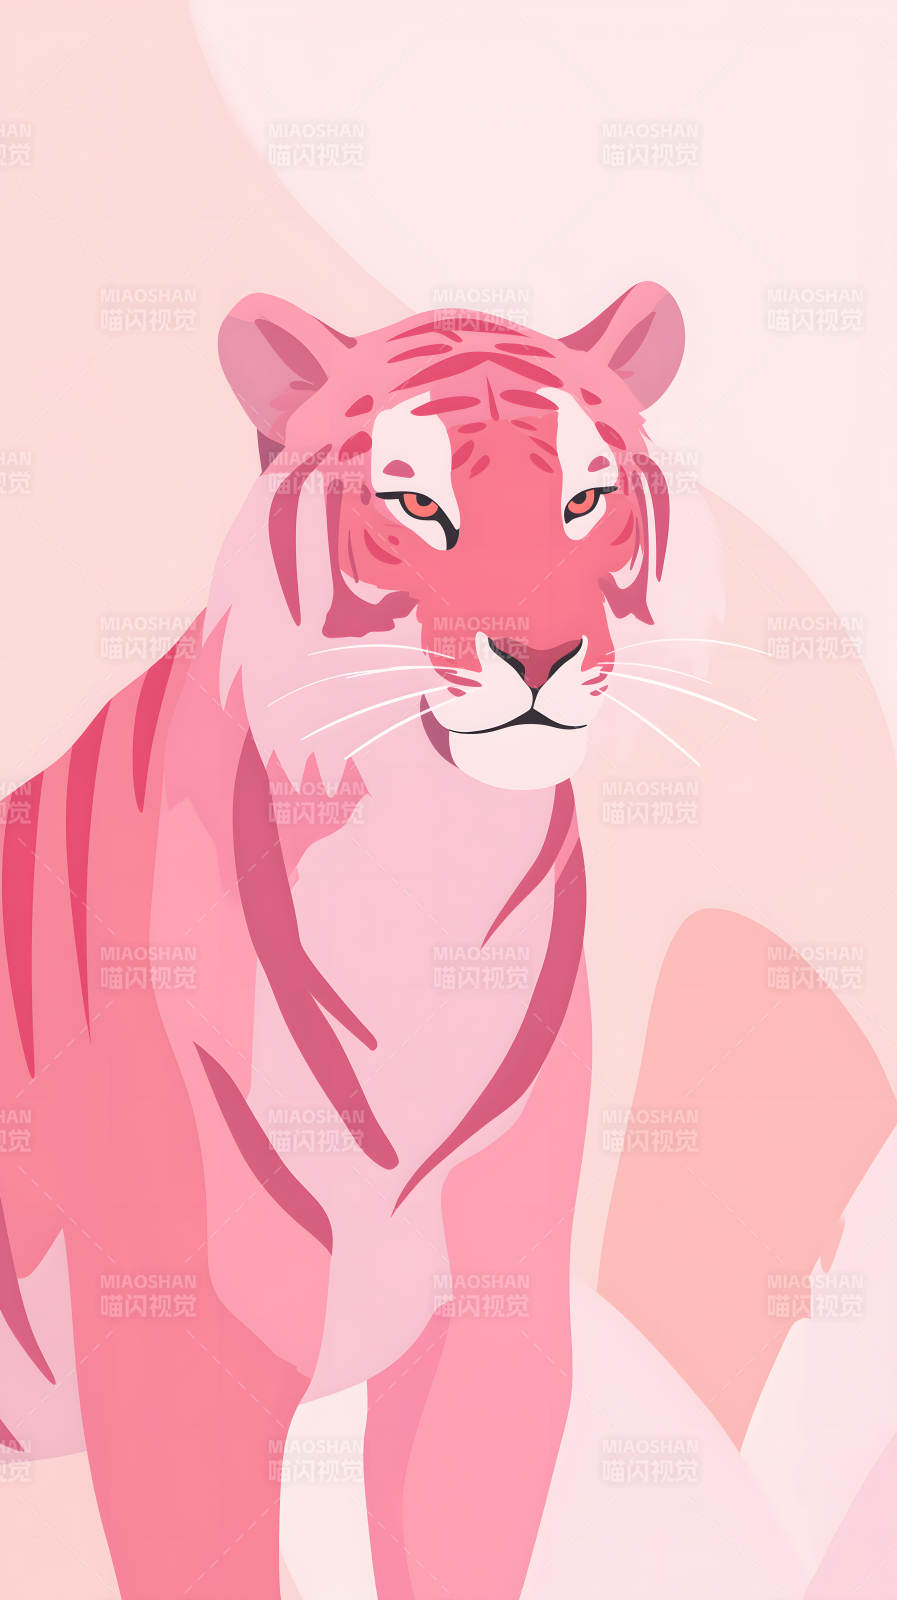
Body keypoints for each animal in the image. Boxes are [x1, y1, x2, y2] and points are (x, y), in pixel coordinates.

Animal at [0, 282, 684, 1598]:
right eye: (416, 506)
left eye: (585, 499)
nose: (541, 655)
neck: (427, 870)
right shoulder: (185, 1362)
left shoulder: (492, 1340)